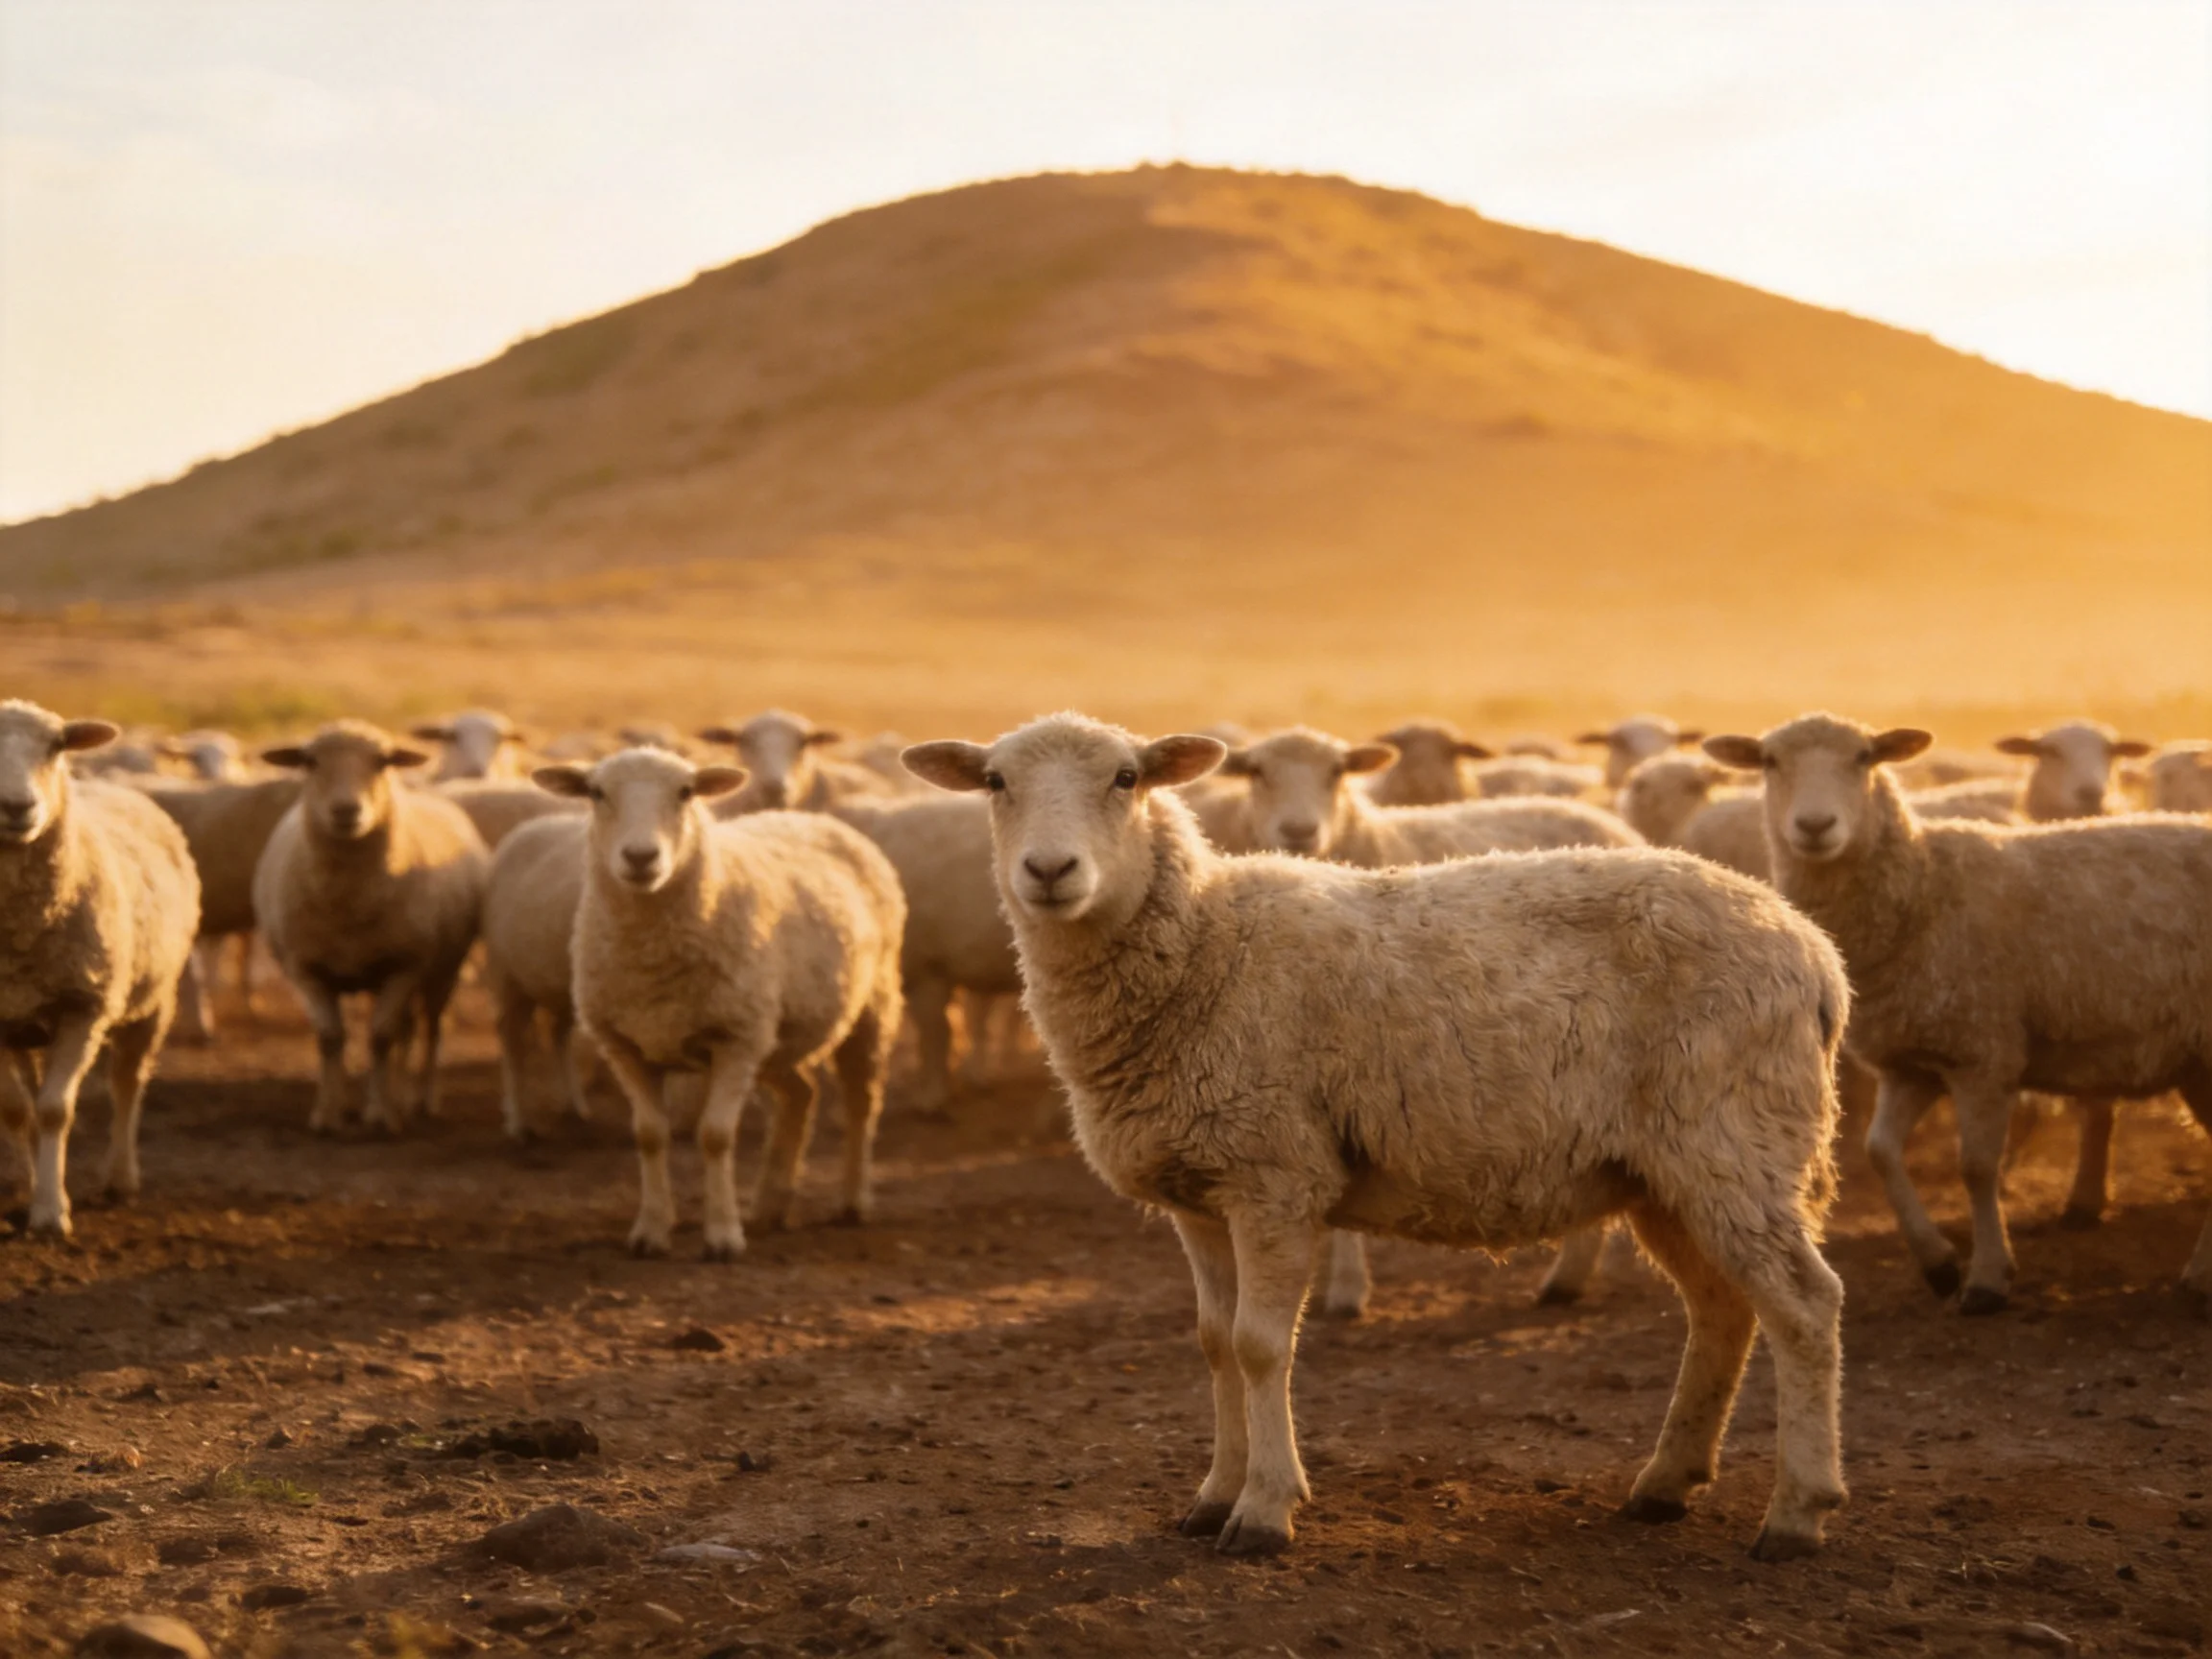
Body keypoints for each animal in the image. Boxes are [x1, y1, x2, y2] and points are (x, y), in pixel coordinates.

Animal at [0, 702, 200, 1236]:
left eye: (56, 747)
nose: (17, 806)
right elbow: (17, 1110)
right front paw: (29, 1188)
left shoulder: (84, 1007)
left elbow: (54, 1110)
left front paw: (51, 1212)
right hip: (25, 1022)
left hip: (153, 1001)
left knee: (127, 1084)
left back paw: (120, 1177)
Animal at [253, 722, 489, 1133]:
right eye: (310, 761)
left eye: (382, 762)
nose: (346, 810)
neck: (350, 901)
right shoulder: (305, 968)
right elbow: (331, 1038)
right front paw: (328, 1113)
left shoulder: (404, 965)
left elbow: (380, 1037)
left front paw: (379, 1115)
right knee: (403, 1029)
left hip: (444, 966)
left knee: (431, 1026)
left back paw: (422, 1100)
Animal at [535, 747, 905, 1256]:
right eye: (596, 793)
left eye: (686, 792)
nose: (641, 856)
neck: (651, 956)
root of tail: (813, 818)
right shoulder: (625, 1046)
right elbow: (649, 1136)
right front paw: (651, 1231)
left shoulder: (736, 1040)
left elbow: (715, 1136)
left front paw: (723, 1235)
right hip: (773, 1036)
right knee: (801, 1095)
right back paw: (771, 1203)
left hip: (869, 1006)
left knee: (861, 1101)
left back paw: (853, 1200)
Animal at [1705, 713, 2212, 1311]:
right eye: (1770, 762)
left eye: (1864, 758)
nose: (1814, 825)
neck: (1923, 890)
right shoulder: (1913, 1062)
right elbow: (1880, 1152)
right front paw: (1939, 1263)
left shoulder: (1983, 1053)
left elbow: (1975, 1167)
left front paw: (1987, 1277)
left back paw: (2197, 1275)